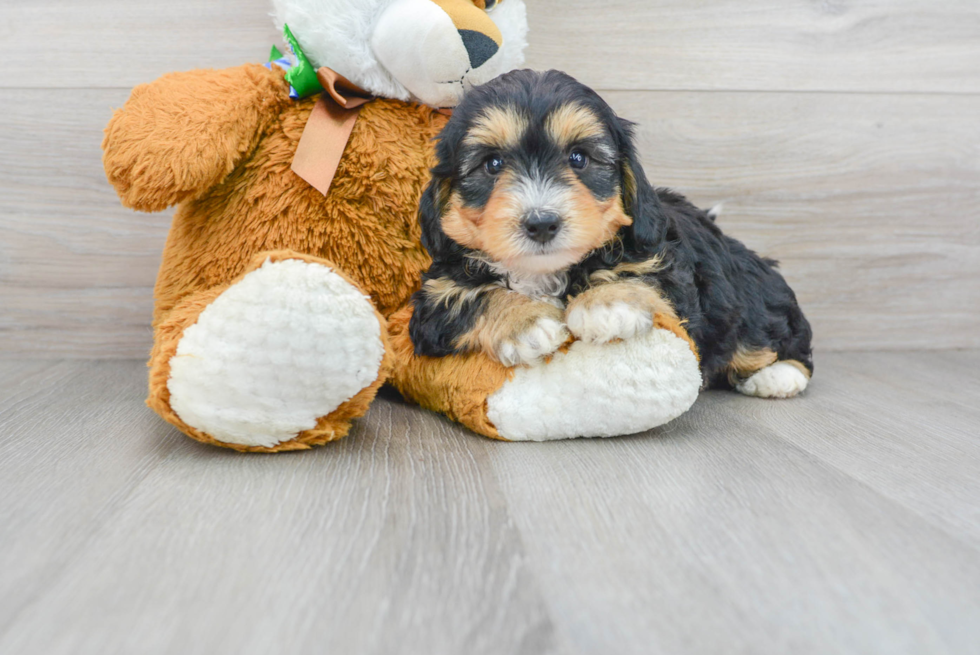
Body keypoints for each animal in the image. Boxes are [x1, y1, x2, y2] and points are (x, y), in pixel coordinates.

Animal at [406, 69, 812, 398]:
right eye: (492, 164)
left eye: (579, 159)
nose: (541, 223)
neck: (543, 273)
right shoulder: (435, 298)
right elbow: (475, 296)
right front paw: (526, 322)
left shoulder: (664, 262)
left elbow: (642, 275)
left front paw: (606, 304)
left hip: (750, 299)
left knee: (773, 336)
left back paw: (779, 375)